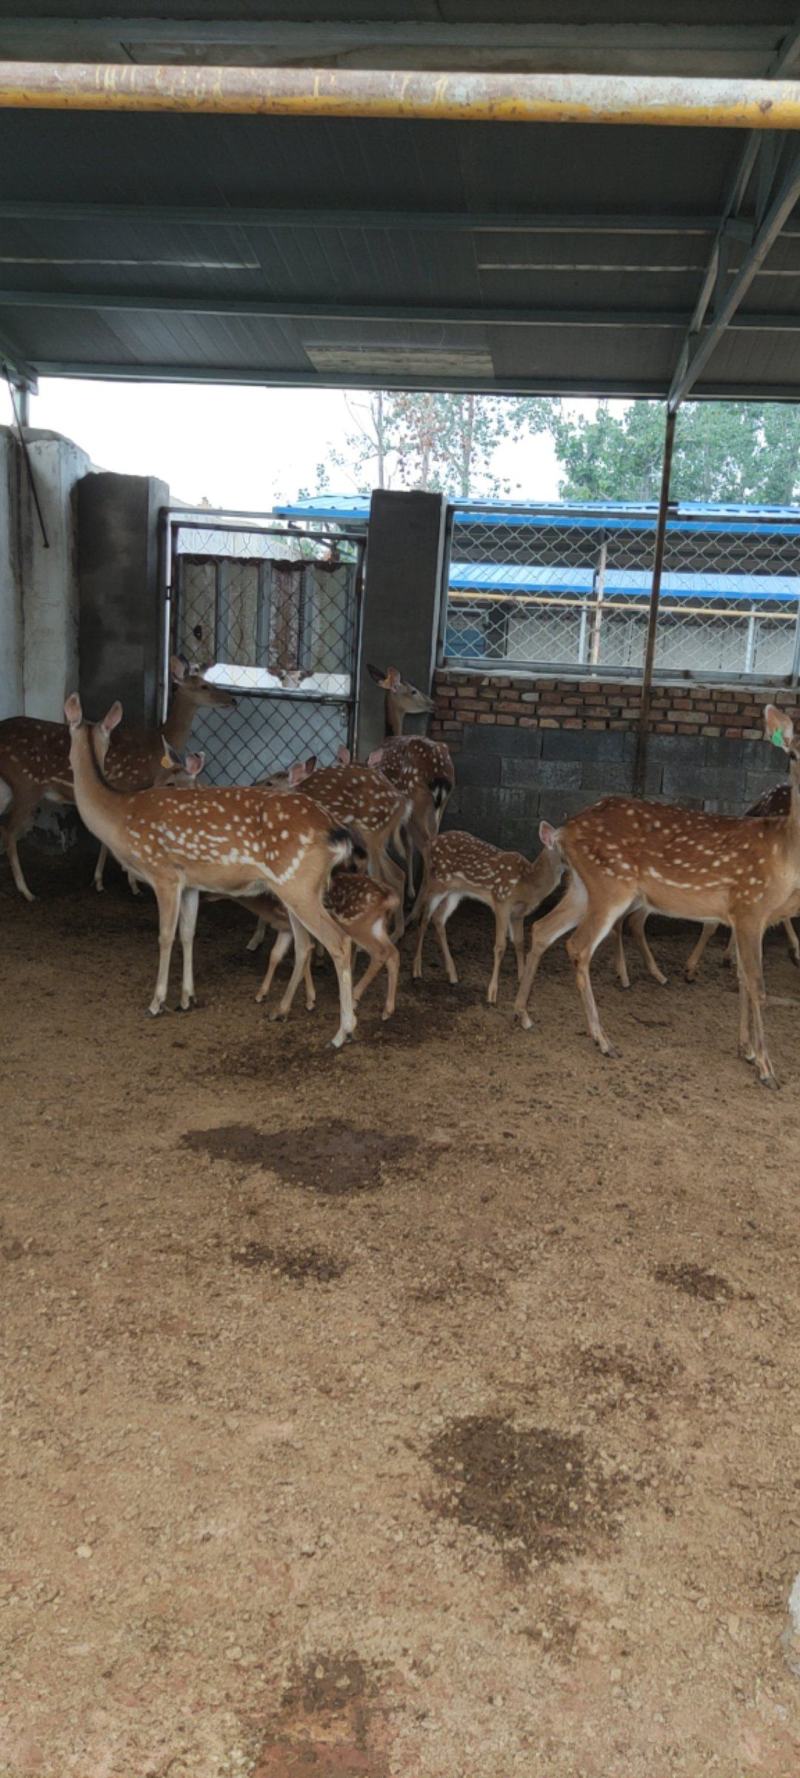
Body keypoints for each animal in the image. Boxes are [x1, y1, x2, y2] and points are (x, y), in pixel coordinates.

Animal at [0, 656, 234, 902]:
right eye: (204, 686)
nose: (233, 700)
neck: (155, 746)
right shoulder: (129, 784)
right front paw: (123, 882)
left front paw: (105, 878)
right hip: (26, 784)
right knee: (9, 829)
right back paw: (26, 891)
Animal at [63, 694, 359, 1048]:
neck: (120, 816)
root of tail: (337, 832)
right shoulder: (191, 882)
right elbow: (188, 933)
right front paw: (187, 998)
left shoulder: (163, 873)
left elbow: (165, 936)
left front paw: (157, 1002)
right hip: (297, 887)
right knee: (305, 944)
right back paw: (281, 1010)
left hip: (297, 883)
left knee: (339, 941)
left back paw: (342, 1033)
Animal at [412, 825, 564, 1004]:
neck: (527, 884)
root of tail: (430, 843)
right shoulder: (501, 901)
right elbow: (500, 946)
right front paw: (492, 993)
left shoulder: (518, 914)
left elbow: (520, 942)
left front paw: (521, 979)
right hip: (436, 882)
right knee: (424, 918)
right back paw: (417, 969)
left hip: (455, 891)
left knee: (438, 918)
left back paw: (452, 974)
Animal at [514, 703, 800, 1088]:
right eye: (793, 753)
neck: (783, 854)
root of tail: (564, 830)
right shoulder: (750, 906)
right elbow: (757, 984)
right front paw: (767, 1069)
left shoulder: (746, 916)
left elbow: (742, 977)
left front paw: (747, 1051)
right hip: (611, 885)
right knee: (578, 945)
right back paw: (603, 1039)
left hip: (583, 887)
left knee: (543, 928)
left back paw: (522, 1013)